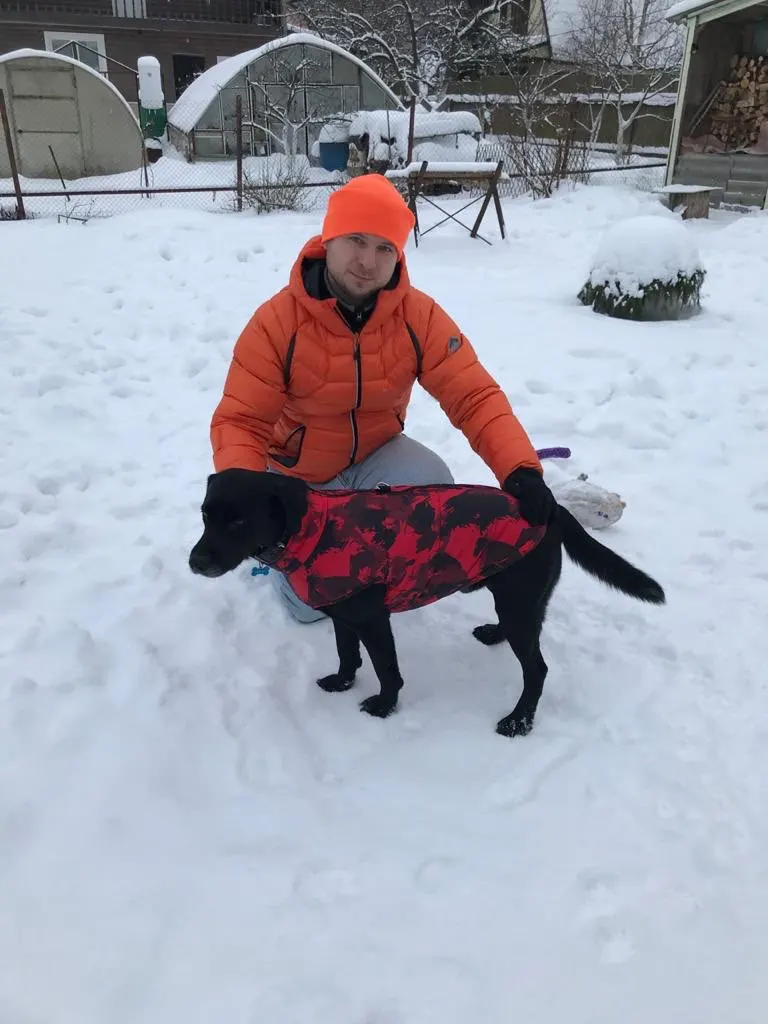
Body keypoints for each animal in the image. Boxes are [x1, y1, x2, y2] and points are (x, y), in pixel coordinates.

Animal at [188, 469, 665, 738]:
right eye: (206, 515)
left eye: (239, 521)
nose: (195, 563)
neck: (316, 531)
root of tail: (551, 508)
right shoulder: (343, 613)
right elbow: (346, 655)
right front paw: (342, 683)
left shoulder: (373, 620)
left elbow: (387, 670)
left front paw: (384, 707)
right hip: (514, 598)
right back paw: (493, 636)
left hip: (519, 600)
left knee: (537, 670)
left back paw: (519, 721)